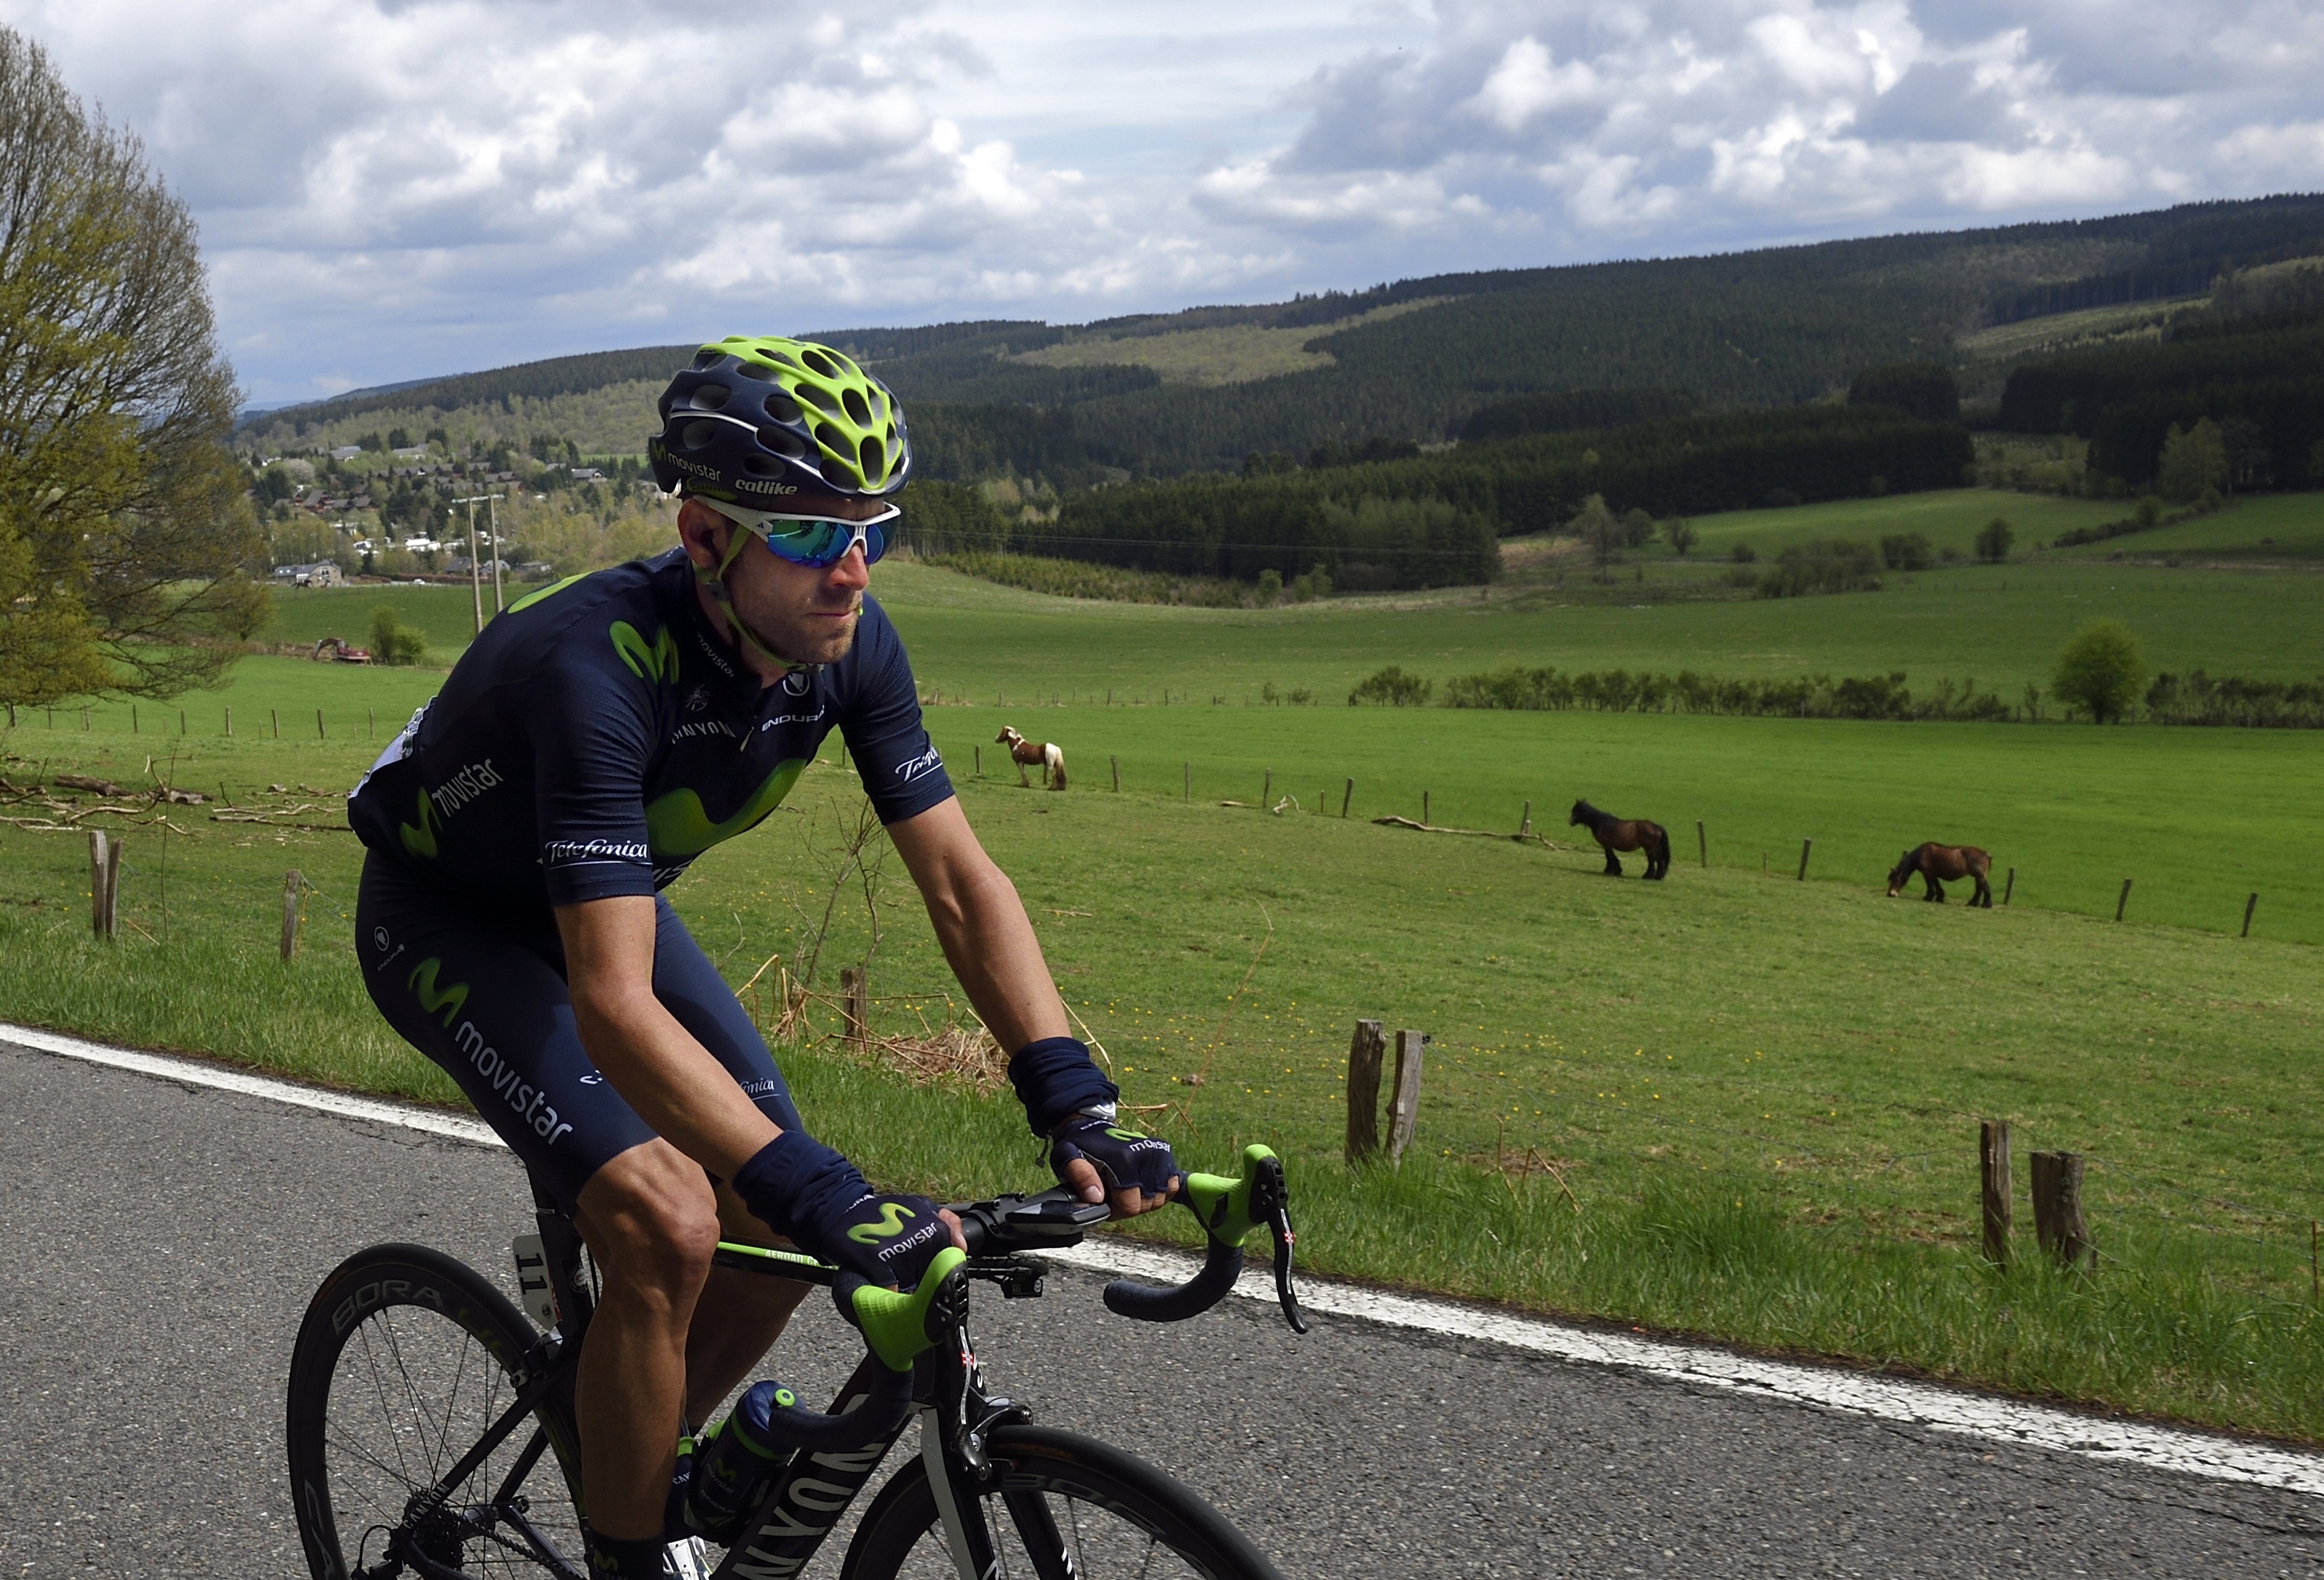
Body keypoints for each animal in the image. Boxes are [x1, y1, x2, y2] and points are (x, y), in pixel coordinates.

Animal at [1562, 804, 1673, 878]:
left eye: (1577, 811)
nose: (1571, 822)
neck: (1601, 822)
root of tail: (1657, 827)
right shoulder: (1608, 846)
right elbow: (1612, 857)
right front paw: (1616, 870)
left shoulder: (1607, 845)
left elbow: (1610, 857)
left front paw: (1612, 871)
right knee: (1660, 861)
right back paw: (1657, 877)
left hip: (1649, 848)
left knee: (1653, 861)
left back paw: (1648, 876)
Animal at [1887, 846, 1999, 906]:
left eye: (1896, 879)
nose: (1890, 894)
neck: (1922, 854)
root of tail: (1986, 854)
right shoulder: (1933, 874)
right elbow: (1937, 886)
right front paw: (1940, 898)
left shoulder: (1928, 873)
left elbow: (1930, 886)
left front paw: (1928, 897)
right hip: (1978, 877)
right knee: (1980, 889)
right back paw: (1974, 903)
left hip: (1979, 876)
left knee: (1984, 888)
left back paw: (1986, 905)